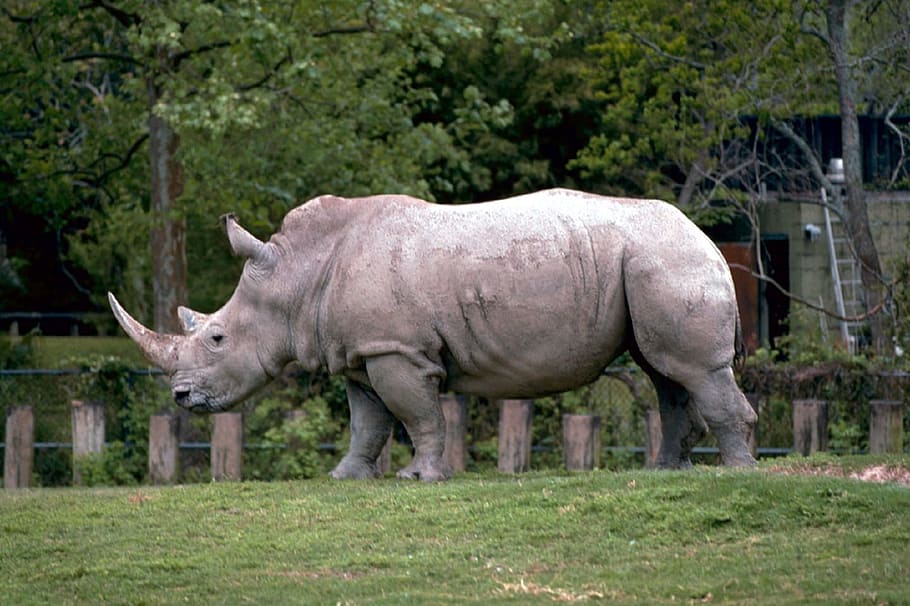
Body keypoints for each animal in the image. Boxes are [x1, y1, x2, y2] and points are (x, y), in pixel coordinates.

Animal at [109, 188, 757, 481]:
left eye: (216, 338)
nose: (180, 397)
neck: (298, 274)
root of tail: (707, 236)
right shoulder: (361, 351)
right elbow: (367, 421)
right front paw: (345, 478)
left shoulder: (398, 350)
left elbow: (417, 414)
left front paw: (418, 479)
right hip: (651, 259)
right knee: (664, 374)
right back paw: (666, 471)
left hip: (667, 258)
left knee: (691, 370)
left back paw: (738, 471)